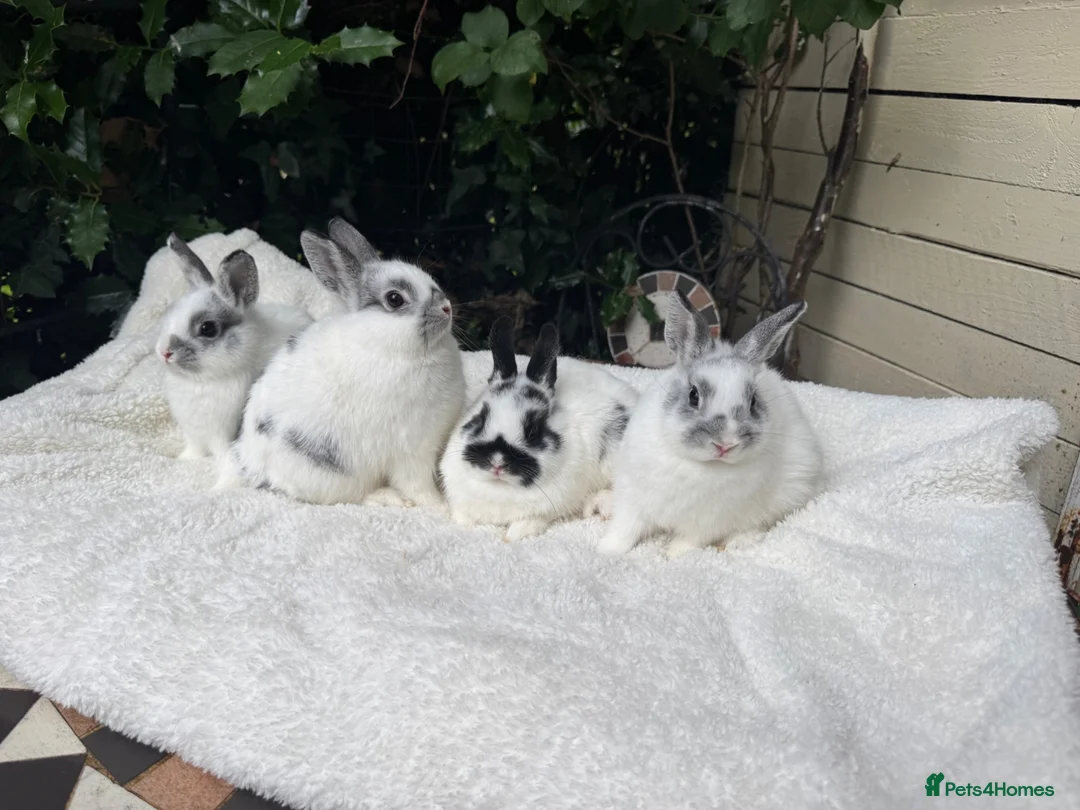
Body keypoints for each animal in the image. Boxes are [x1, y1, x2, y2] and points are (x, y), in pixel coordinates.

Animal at [157, 233, 313, 461]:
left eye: (208, 328)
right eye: (170, 312)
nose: (164, 352)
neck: (201, 382)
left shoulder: (222, 434)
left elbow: (223, 454)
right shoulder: (193, 434)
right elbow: (194, 450)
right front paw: (185, 460)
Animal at [221, 217, 466, 506]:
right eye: (395, 299)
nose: (447, 308)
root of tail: (248, 465)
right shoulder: (413, 448)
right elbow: (418, 485)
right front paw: (439, 505)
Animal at [440, 317, 640, 542]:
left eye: (533, 432)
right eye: (480, 419)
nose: (497, 462)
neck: (499, 488)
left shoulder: (545, 510)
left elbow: (530, 522)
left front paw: (513, 534)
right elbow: (462, 517)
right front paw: (463, 522)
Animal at [597, 294, 823, 558]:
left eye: (753, 402)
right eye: (694, 395)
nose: (725, 443)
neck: (696, 465)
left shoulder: (708, 523)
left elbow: (689, 540)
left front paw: (671, 555)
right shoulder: (634, 499)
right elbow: (625, 529)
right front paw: (606, 550)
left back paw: (739, 542)